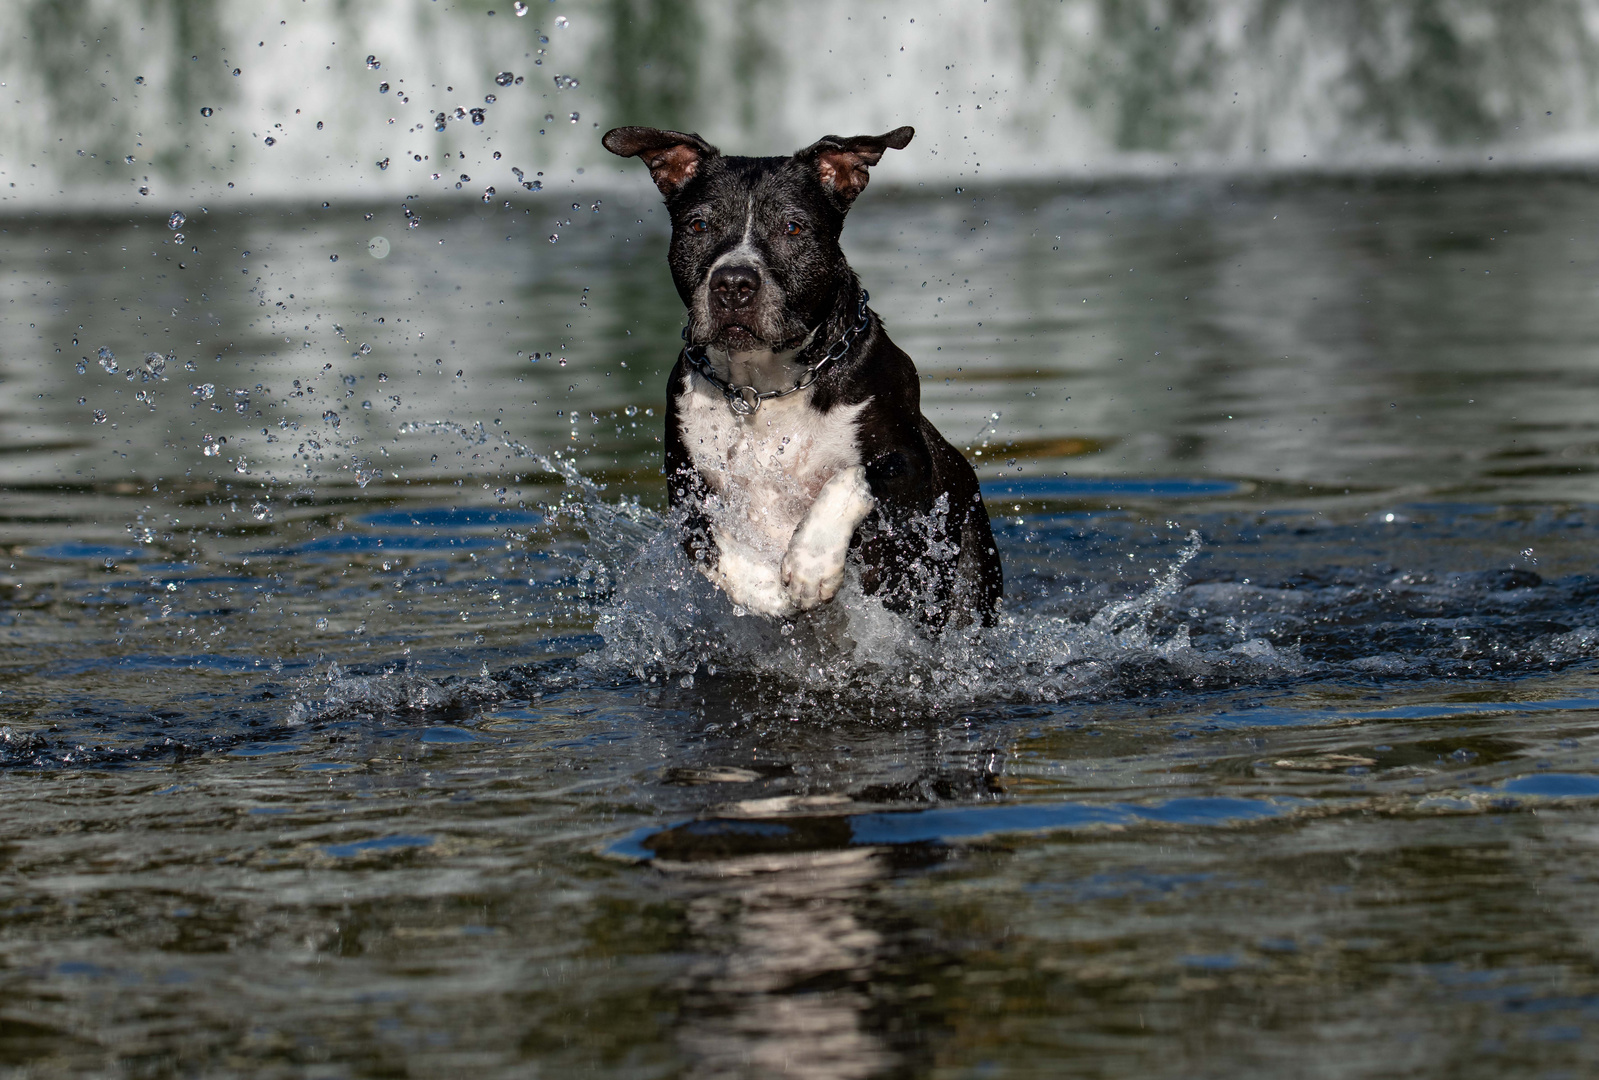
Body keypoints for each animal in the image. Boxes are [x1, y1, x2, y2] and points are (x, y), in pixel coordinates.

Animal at [601, 123, 997, 630]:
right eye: (698, 226)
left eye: (793, 227)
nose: (733, 282)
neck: (762, 386)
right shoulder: (685, 490)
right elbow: (711, 544)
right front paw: (766, 588)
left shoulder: (912, 473)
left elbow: (850, 476)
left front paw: (810, 564)